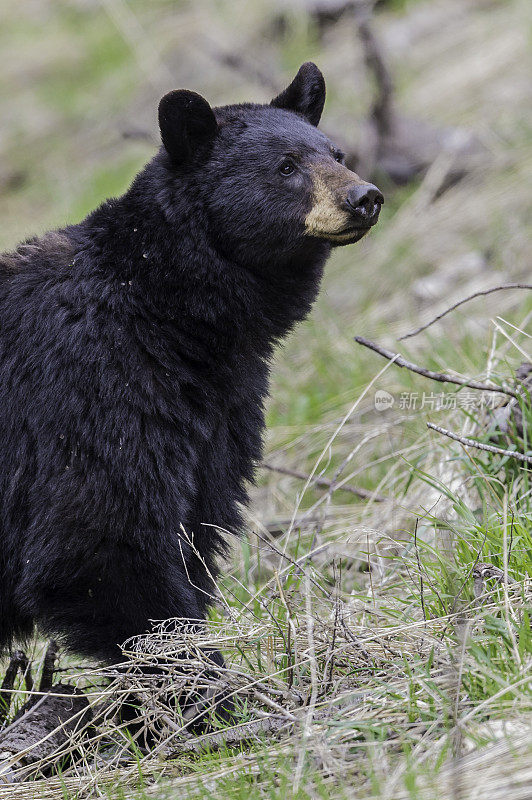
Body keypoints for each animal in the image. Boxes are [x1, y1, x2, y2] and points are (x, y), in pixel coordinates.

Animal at [0, 61, 382, 664]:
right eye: (286, 167)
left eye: (337, 153)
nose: (365, 196)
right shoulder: (93, 388)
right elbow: (97, 541)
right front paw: (203, 680)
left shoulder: (218, 412)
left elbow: (193, 529)